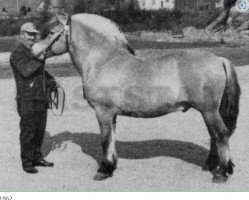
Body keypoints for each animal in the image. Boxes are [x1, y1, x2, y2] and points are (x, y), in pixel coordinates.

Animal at [32, 10, 240, 183]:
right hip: (208, 112)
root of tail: (219, 59)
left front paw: (103, 170)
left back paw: (221, 173)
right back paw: (212, 166)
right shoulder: (112, 114)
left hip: (209, 111)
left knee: (221, 134)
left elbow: (105, 139)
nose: (34, 51)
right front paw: (111, 166)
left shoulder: (103, 112)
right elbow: (112, 139)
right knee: (214, 136)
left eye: (52, 33)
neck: (102, 61)